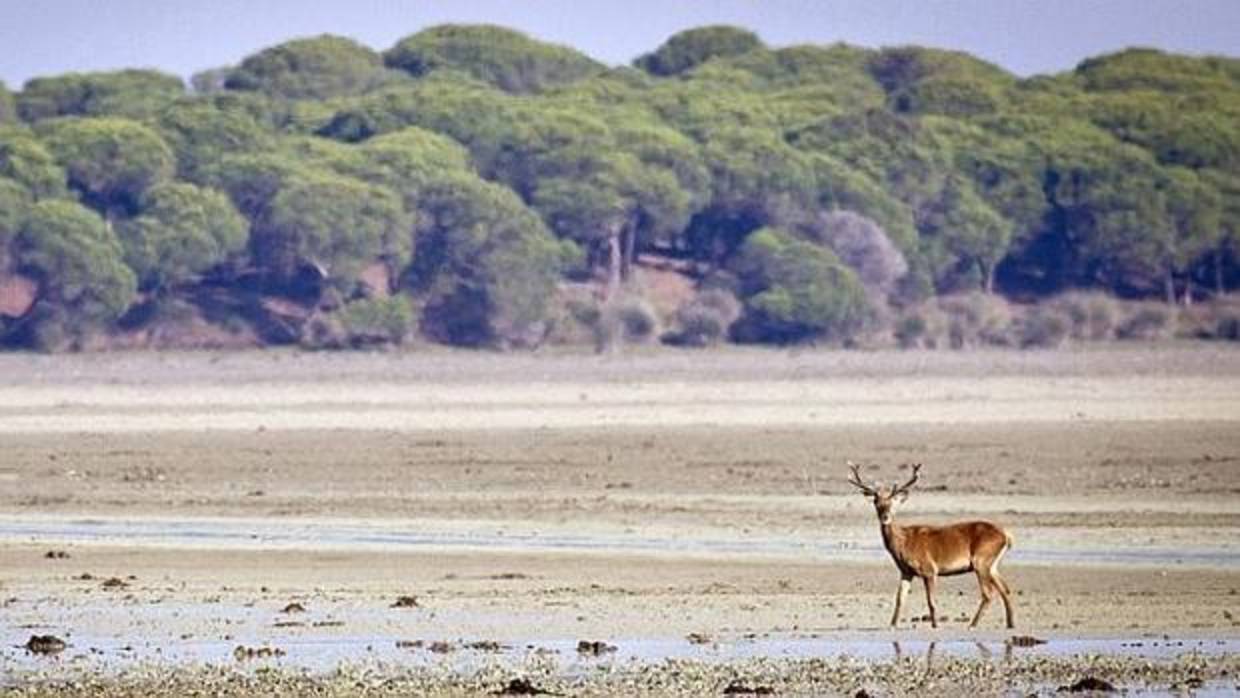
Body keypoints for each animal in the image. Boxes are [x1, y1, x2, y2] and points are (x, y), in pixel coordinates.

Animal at [843, 461, 1016, 629]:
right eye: (876, 502)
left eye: (893, 503)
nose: (885, 517)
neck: (904, 544)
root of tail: (1006, 536)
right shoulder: (906, 572)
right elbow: (900, 599)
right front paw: (892, 625)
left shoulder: (930, 570)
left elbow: (931, 601)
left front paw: (935, 625)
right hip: (992, 565)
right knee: (1005, 590)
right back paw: (1010, 624)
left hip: (981, 560)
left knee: (988, 593)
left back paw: (972, 625)